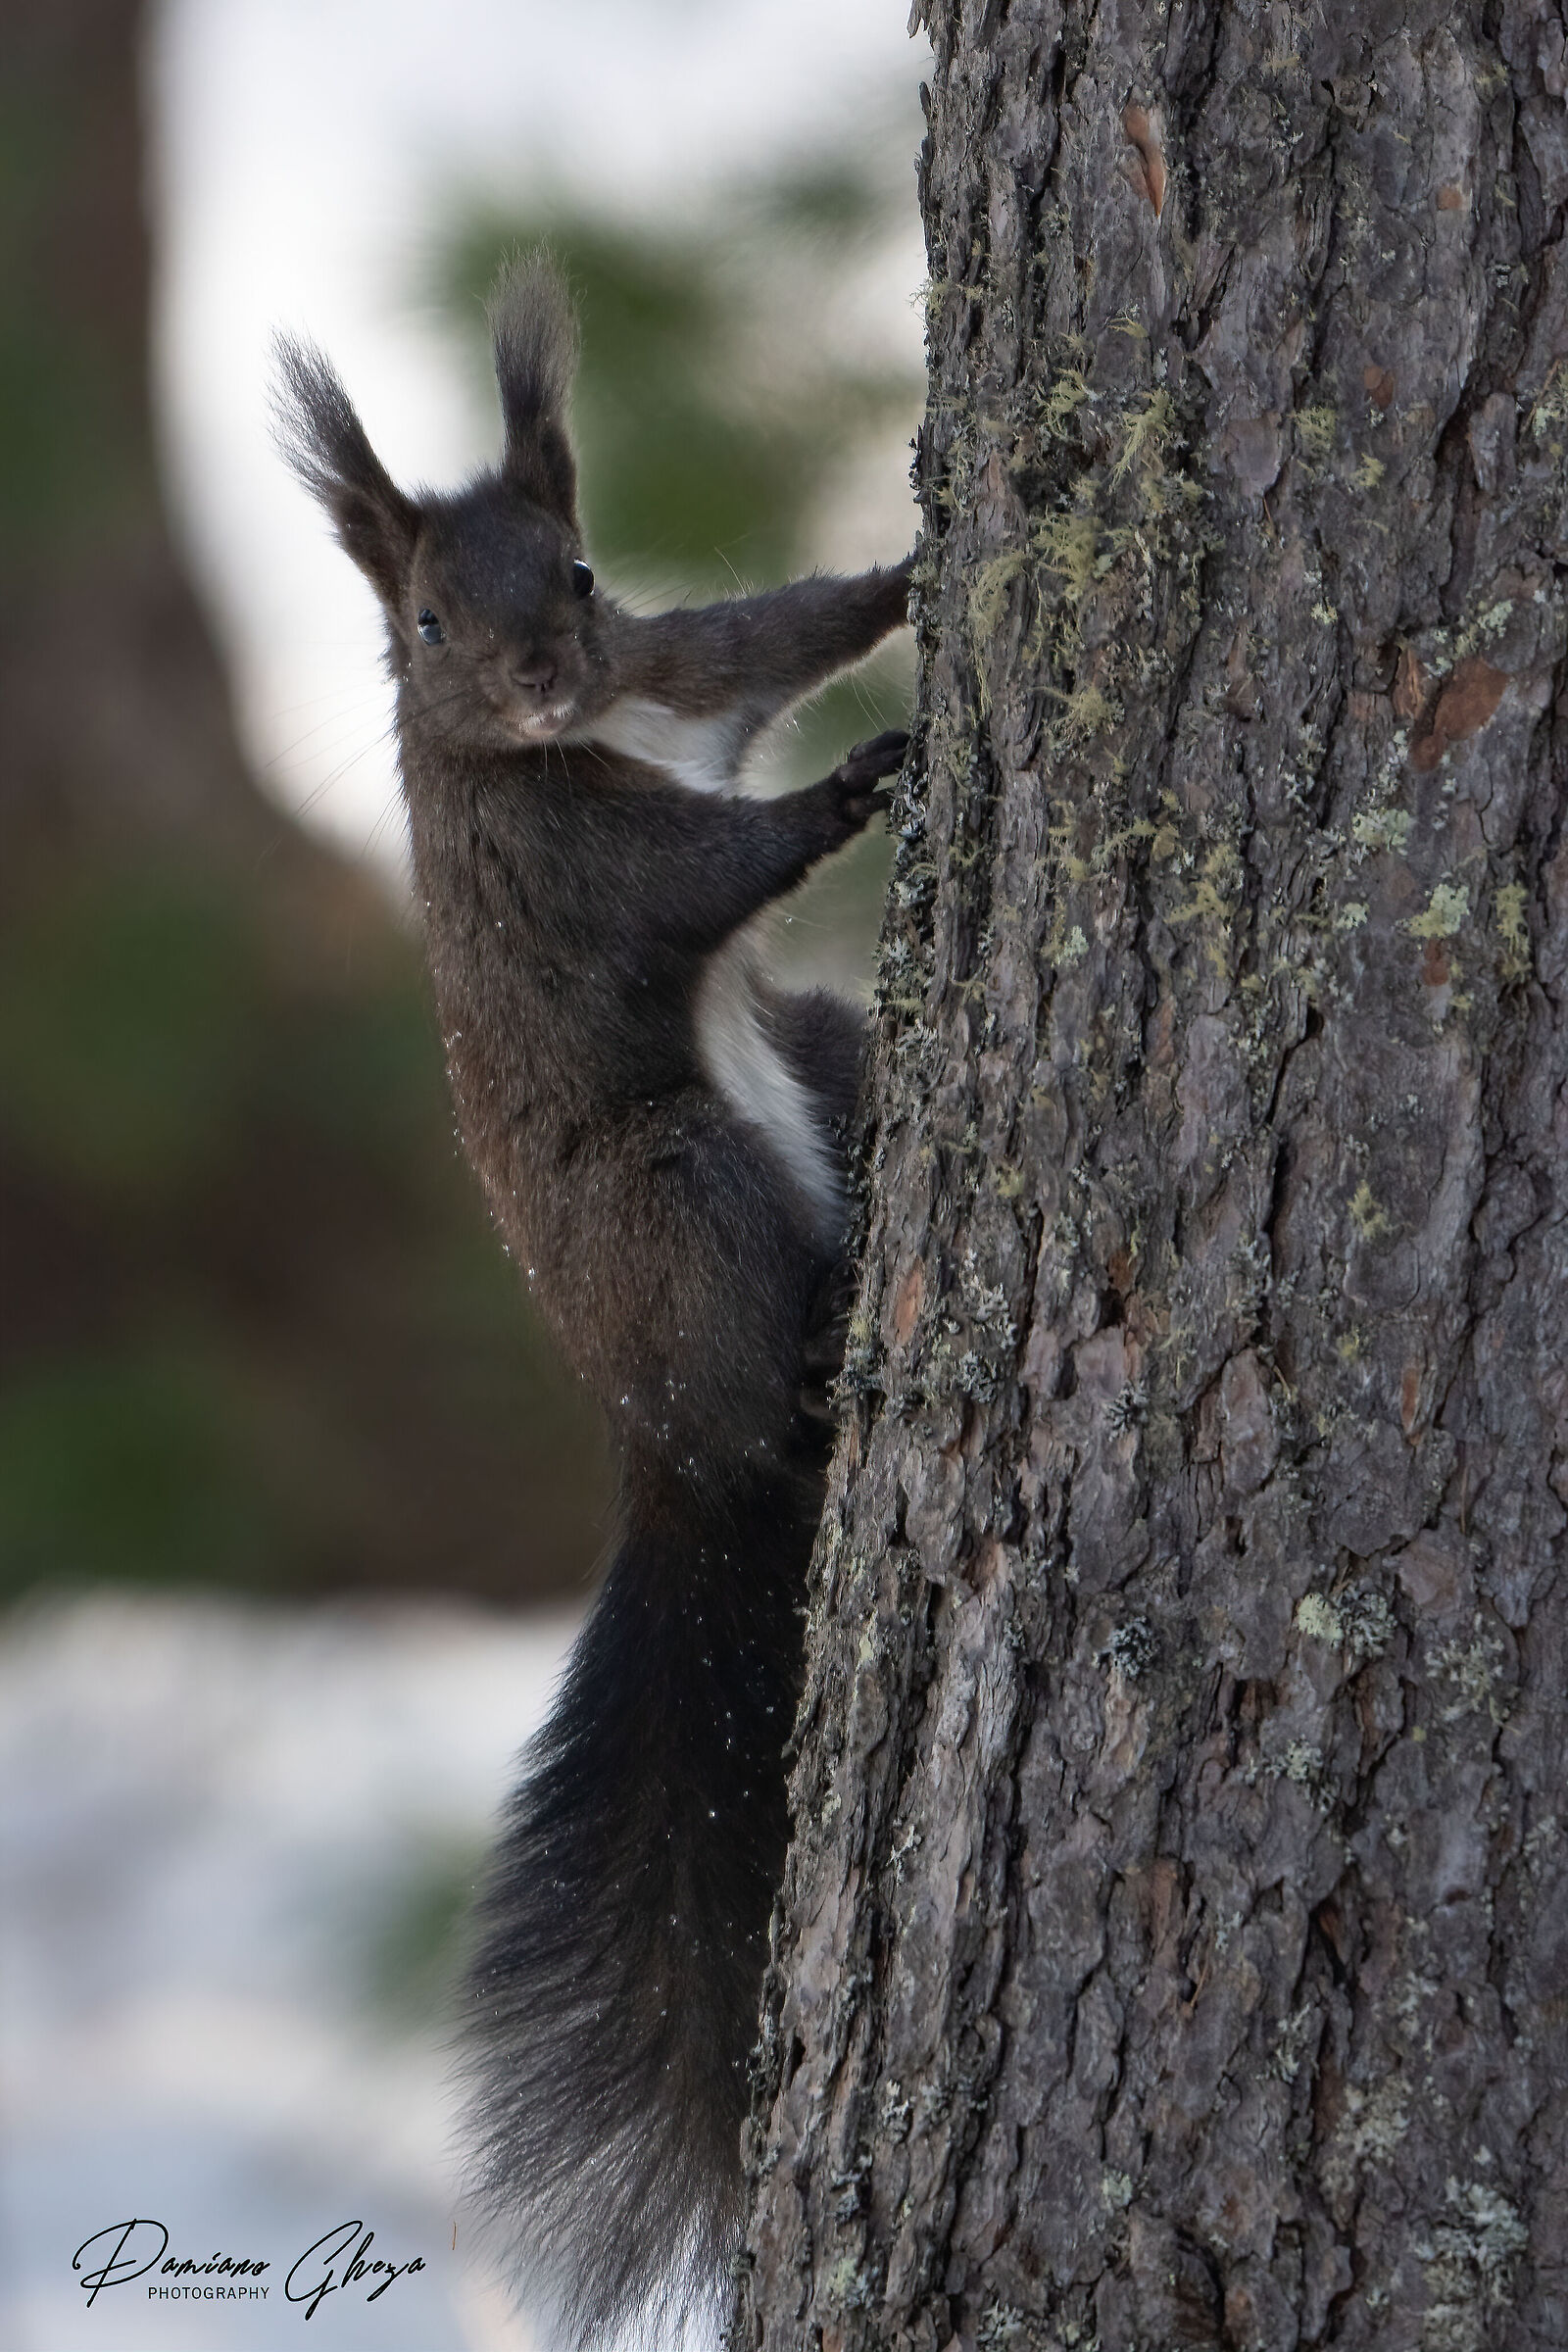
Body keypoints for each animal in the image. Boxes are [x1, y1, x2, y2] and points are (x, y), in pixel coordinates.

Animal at [276, 256, 911, 2348]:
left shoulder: (684, 670)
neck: (585, 732)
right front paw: (856, 783)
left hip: (827, 1051)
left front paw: (917, 563)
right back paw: (820, 1357)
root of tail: (656, 1450)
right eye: (423, 620)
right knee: (763, 1367)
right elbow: (705, 867)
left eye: (572, 569)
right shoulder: (575, 862)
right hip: (677, 1186)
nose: (549, 679)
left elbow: (780, 625)